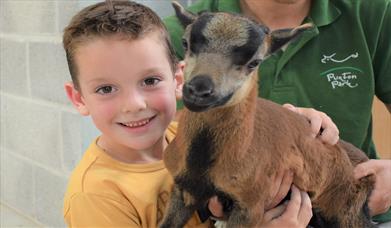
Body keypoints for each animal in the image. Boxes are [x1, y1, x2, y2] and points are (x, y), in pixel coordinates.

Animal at [160, 2, 376, 228]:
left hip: (348, 212)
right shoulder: (185, 190)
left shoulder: (250, 205)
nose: (199, 90)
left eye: (255, 62)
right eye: (185, 43)